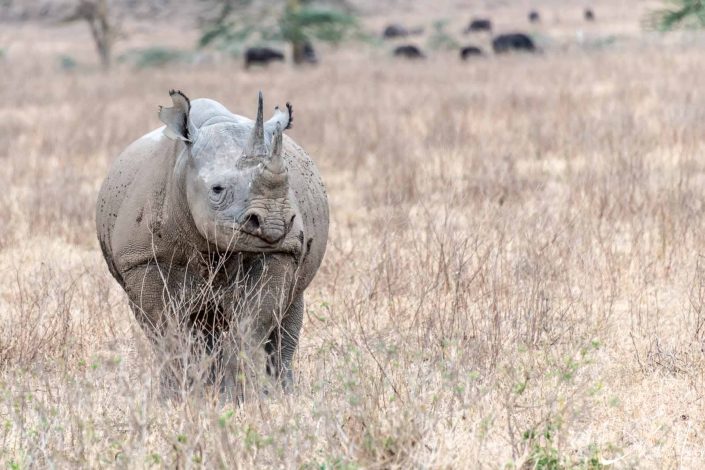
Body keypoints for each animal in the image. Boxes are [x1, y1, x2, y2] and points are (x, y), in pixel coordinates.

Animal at [95, 90, 328, 394]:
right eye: (217, 189)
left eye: (287, 183)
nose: (273, 223)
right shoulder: (143, 259)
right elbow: (167, 329)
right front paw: (178, 393)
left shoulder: (281, 251)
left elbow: (253, 322)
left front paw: (240, 393)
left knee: (286, 315)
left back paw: (282, 392)